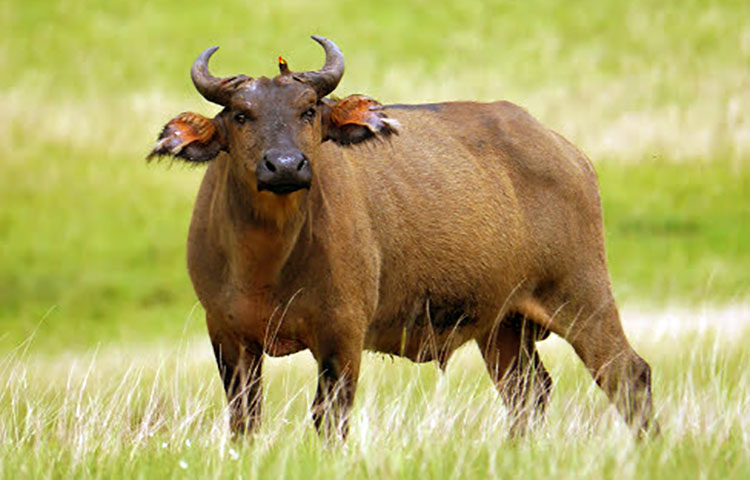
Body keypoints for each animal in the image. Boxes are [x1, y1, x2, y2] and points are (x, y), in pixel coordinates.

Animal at [150, 35, 656, 436]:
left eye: (308, 110)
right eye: (240, 114)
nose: (286, 165)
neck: (268, 263)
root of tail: (567, 152)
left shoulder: (342, 333)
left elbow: (329, 416)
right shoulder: (227, 335)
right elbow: (245, 418)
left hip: (582, 294)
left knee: (628, 375)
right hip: (502, 323)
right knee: (529, 393)